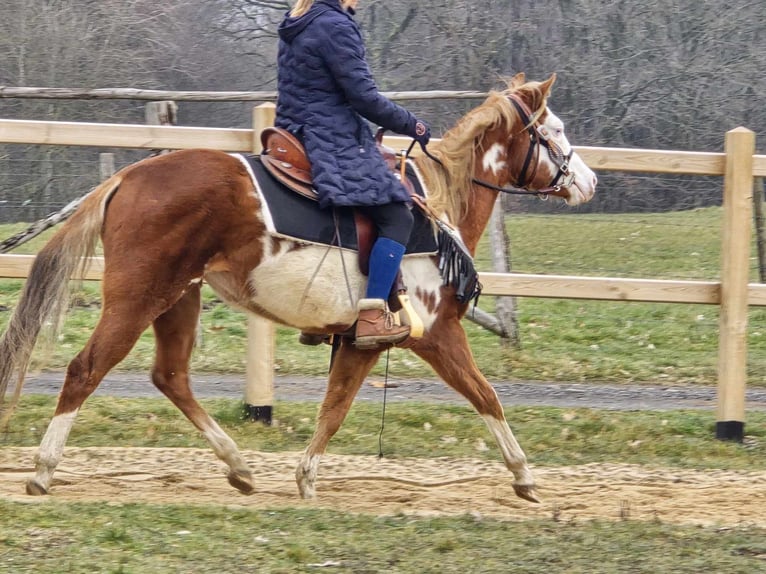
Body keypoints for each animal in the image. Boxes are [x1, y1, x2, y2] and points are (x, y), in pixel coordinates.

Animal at [0, 72, 600, 504]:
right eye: (555, 131)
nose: (590, 181)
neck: (437, 207)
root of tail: (128, 177)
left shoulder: (359, 343)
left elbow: (335, 405)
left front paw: (305, 476)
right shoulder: (434, 334)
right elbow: (484, 395)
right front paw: (523, 475)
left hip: (178, 299)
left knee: (171, 377)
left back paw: (239, 467)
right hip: (138, 298)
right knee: (86, 369)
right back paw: (43, 471)